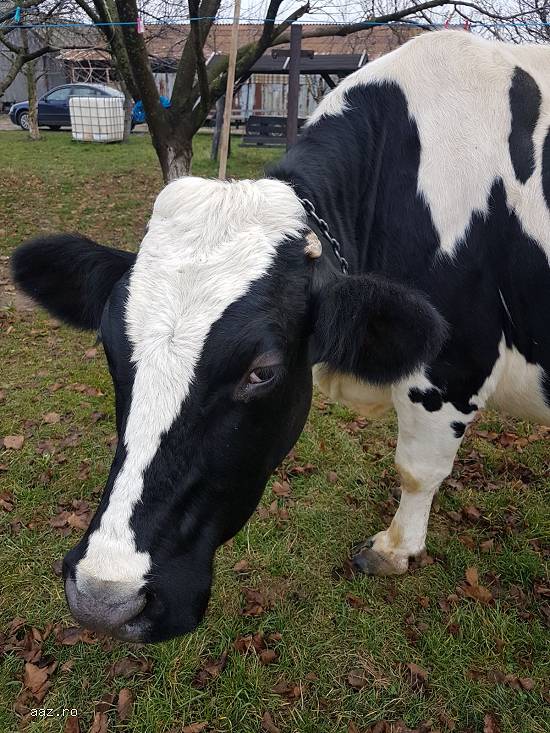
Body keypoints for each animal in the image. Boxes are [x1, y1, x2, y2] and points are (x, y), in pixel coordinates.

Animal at [12, 31, 550, 643]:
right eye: (110, 347)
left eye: (262, 371)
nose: (105, 599)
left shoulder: (453, 368)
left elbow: (418, 469)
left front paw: (394, 549)